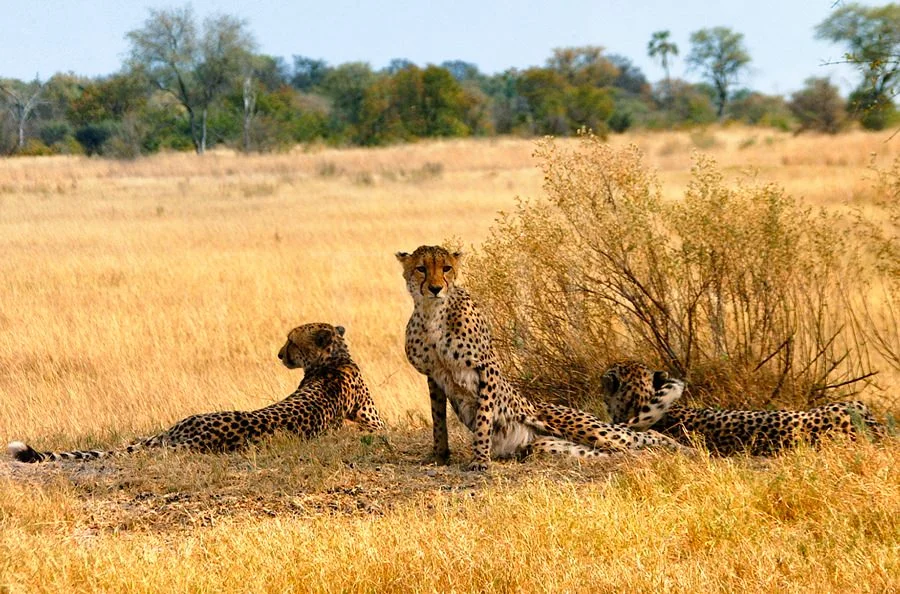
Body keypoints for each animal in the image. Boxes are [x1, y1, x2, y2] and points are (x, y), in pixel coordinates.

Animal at [8, 322, 385, 463]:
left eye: (292, 340)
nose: (280, 354)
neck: (333, 358)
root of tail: (183, 435)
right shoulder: (373, 423)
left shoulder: (374, 423)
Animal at [396, 245, 693, 471]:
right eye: (421, 268)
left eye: (446, 268)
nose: (435, 288)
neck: (433, 314)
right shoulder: (434, 376)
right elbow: (438, 420)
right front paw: (439, 455)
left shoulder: (486, 368)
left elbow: (483, 418)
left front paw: (480, 459)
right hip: (555, 447)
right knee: (620, 449)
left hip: (589, 429)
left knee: (645, 434)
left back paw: (684, 449)